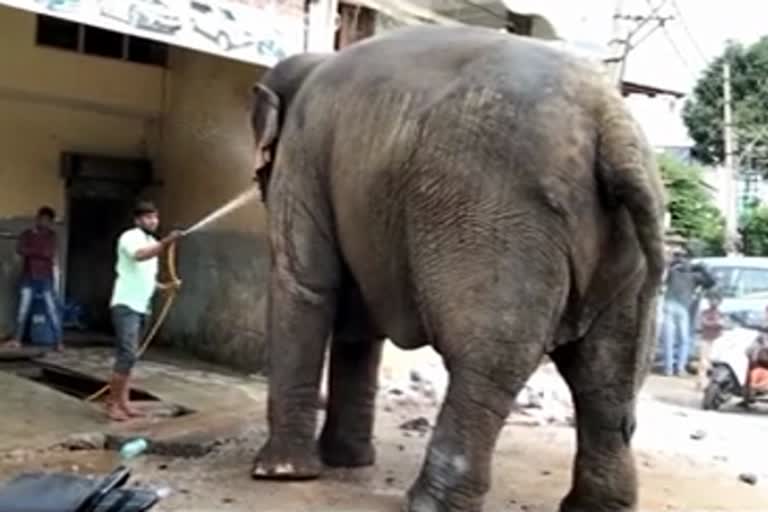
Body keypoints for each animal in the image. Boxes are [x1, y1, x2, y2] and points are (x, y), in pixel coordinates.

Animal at [248, 26, 664, 512]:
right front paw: (347, 462)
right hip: (626, 251)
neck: (313, 62)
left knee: (486, 362)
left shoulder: (302, 154)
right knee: (606, 380)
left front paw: (279, 475)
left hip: (494, 218)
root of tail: (613, 123)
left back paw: (427, 504)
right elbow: (358, 322)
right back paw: (595, 506)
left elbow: (305, 285)